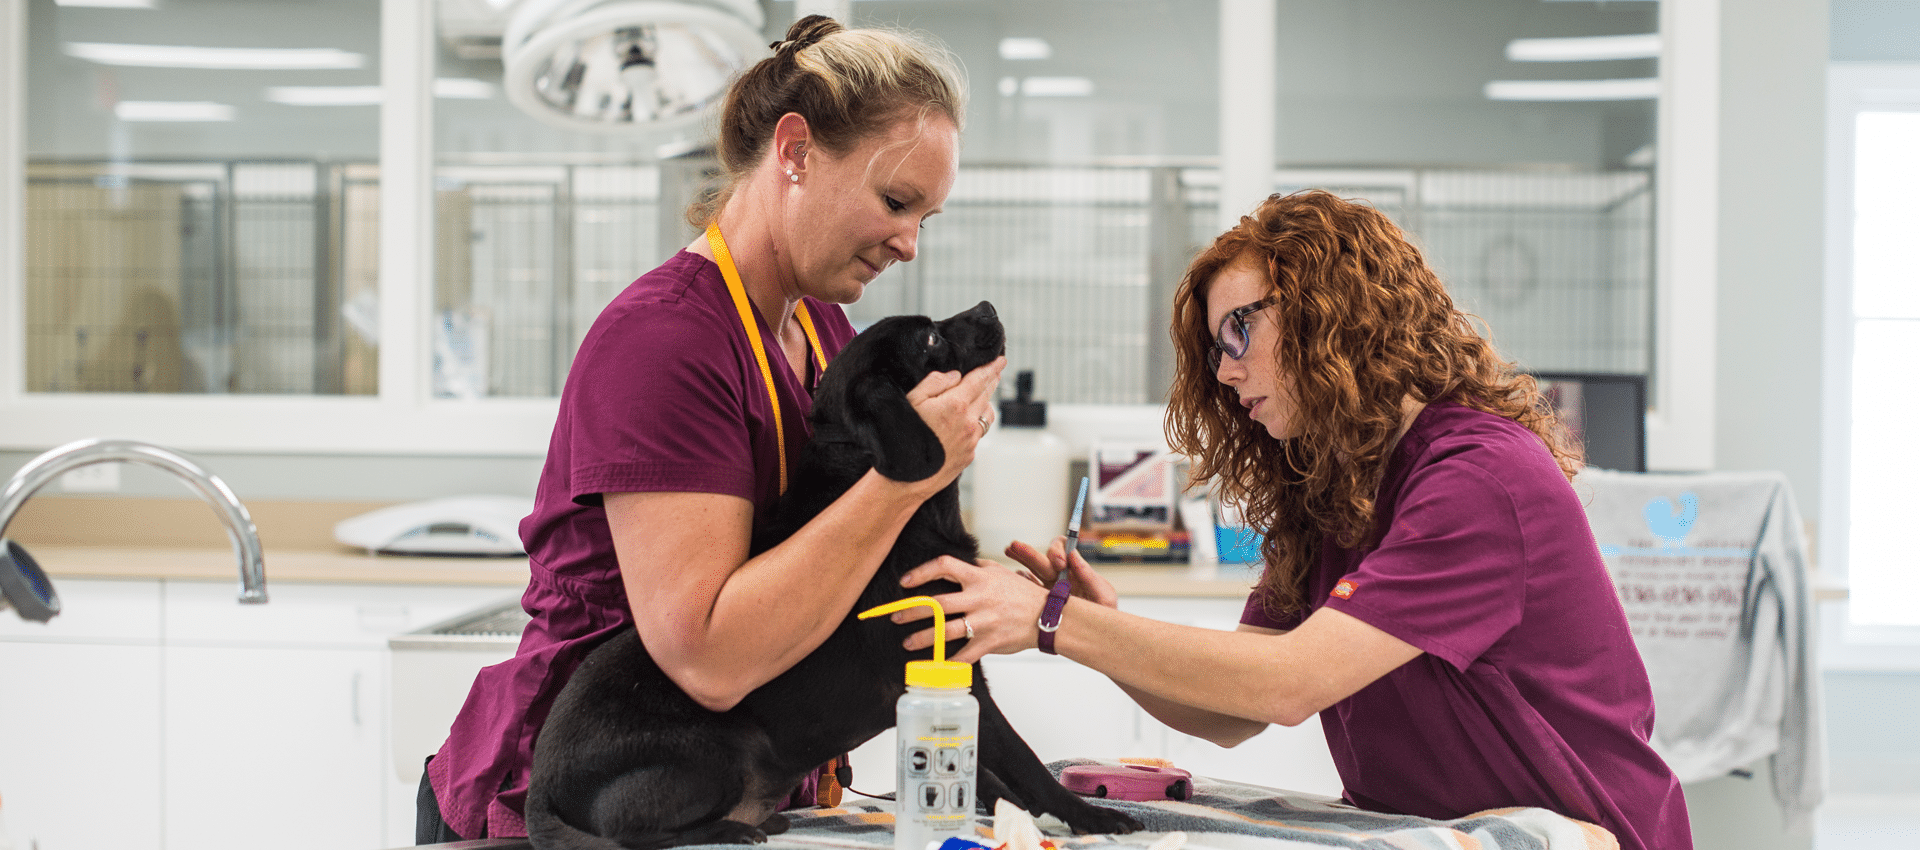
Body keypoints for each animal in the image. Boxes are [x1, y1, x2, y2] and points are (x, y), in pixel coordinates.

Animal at [526, 303, 1136, 848]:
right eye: (931, 340)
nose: (986, 306)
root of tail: (541, 789)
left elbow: (982, 766)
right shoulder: (957, 670)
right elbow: (1024, 760)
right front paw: (1089, 816)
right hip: (717, 755)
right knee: (627, 830)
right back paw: (732, 829)